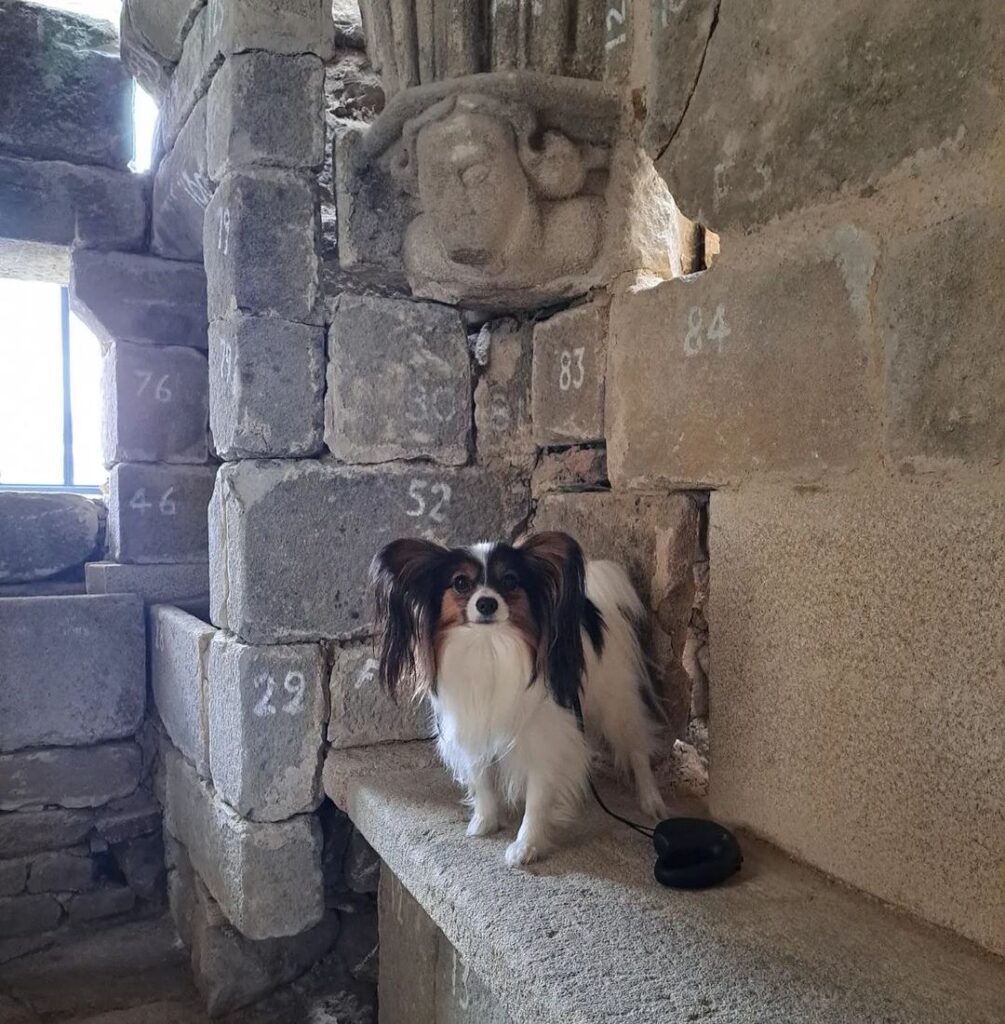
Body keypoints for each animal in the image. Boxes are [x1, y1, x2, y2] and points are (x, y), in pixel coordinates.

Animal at [368, 532, 667, 868]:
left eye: (510, 581)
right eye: (460, 583)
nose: (486, 602)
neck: (489, 648)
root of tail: (590, 603)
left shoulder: (544, 738)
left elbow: (538, 795)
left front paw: (526, 845)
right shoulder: (473, 729)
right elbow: (482, 780)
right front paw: (485, 822)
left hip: (616, 703)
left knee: (637, 749)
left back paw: (650, 800)